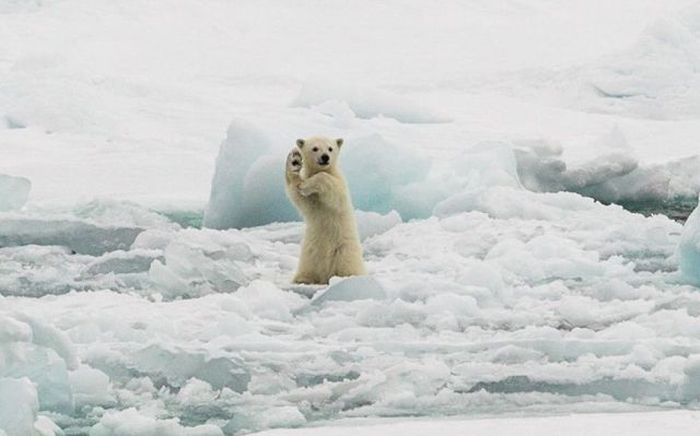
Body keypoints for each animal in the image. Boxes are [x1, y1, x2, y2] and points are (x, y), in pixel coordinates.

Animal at [284, 137, 366, 286]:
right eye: (315, 148)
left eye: (330, 148)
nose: (325, 157)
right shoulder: (312, 200)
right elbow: (299, 196)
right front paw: (294, 160)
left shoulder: (339, 185)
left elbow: (331, 188)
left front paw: (307, 184)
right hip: (309, 252)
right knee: (308, 266)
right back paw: (302, 279)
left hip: (344, 250)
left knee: (346, 265)